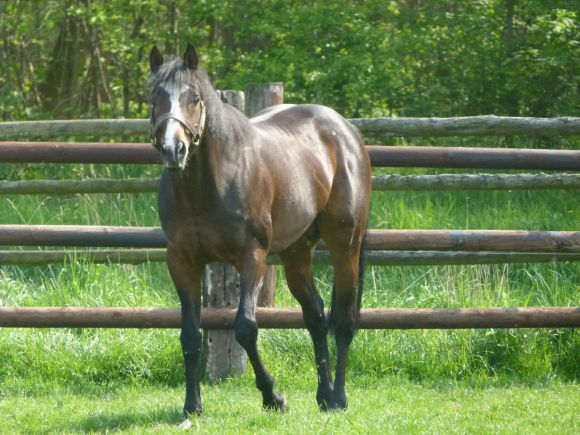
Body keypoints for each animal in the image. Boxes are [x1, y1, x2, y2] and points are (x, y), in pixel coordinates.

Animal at [147, 44, 370, 418]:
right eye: (154, 98)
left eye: (194, 98)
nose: (173, 150)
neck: (209, 182)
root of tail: (346, 132)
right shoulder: (181, 260)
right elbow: (190, 334)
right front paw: (192, 405)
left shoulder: (252, 256)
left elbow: (246, 328)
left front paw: (273, 396)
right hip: (296, 251)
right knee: (315, 315)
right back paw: (323, 394)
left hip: (346, 243)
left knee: (342, 319)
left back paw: (338, 398)